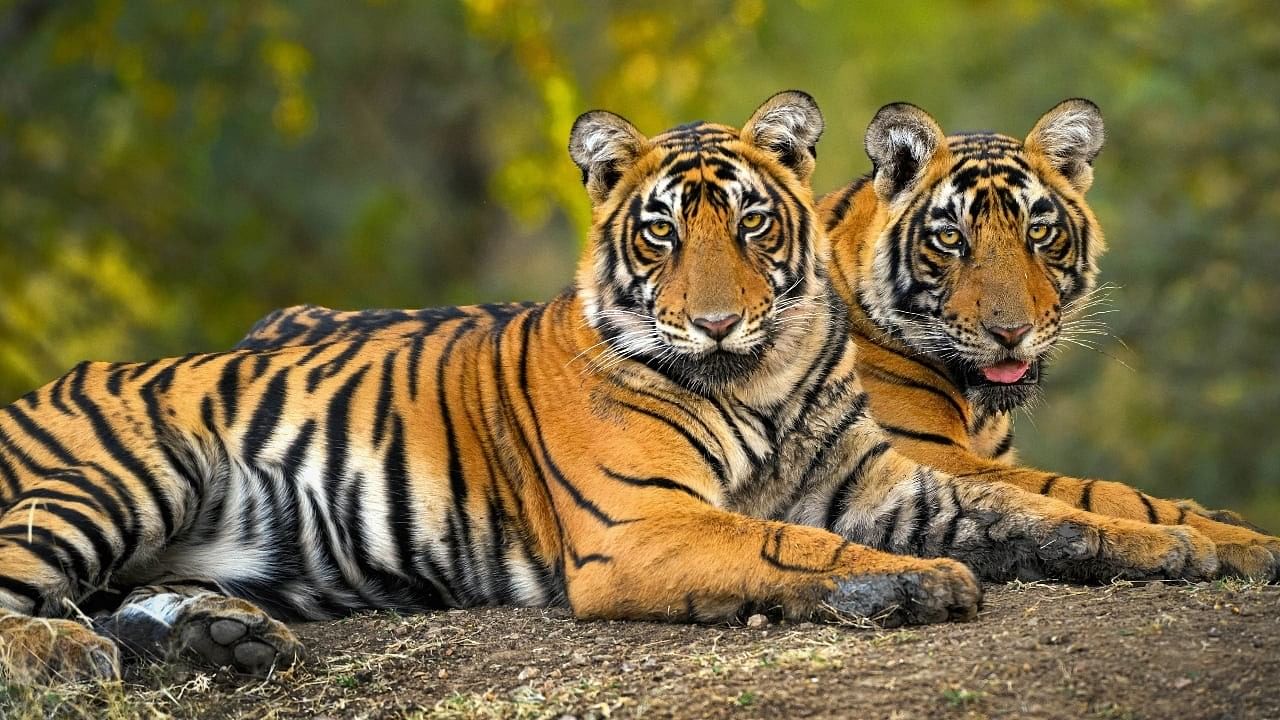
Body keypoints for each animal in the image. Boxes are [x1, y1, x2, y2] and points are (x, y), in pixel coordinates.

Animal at [0, 90, 1259, 681]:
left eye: (749, 223)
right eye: (660, 232)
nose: (715, 319)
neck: (762, 375)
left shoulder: (890, 480)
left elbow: (1045, 503)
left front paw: (1183, 545)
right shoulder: (642, 525)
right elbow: (790, 544)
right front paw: (915, 585)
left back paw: (226, 640)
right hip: (115, 475)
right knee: (30, 599)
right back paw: (70, 656)